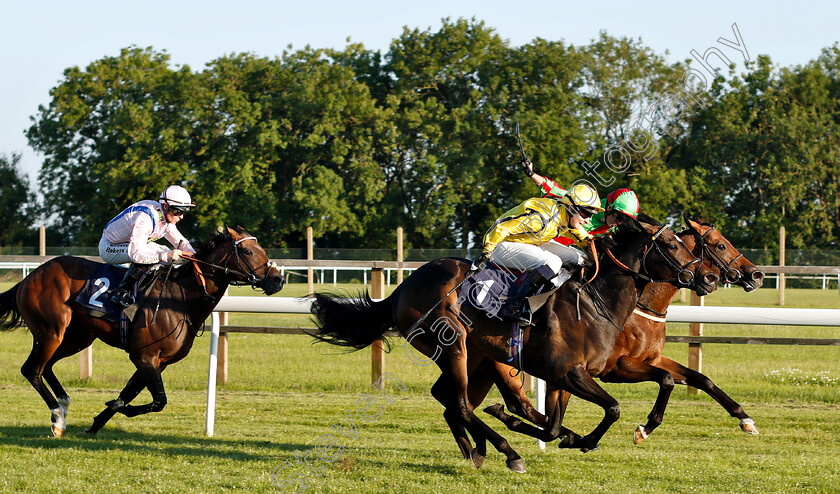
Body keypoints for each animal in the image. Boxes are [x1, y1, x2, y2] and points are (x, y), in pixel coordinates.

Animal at [0, 227, 284, 436]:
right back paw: (57, 417)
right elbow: (159, 400)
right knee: (32, 369)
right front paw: (115, 409)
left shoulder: (158, 361)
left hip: (77, 337)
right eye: (247, 251)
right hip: (51, 331)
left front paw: (98, 421)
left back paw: (63, 404)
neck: (179, 299)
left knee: (46, 366)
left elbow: (129, 394)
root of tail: (29, 278)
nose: (277, 279)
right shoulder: (144, 356)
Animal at [308, 215, 716, 470]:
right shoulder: (571, 373)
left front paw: (571, 437)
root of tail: (402, 288)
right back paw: (506, 451)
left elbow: (553, 425)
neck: (595, 300)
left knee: (452, 401)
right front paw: (582, 439)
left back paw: (477, 448)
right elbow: (612, 408)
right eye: (670, 245)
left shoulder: (570, 375)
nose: (708, 278)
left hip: (475, 357)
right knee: (460, 403)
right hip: (455, 345)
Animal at [476, 216, 764, 448]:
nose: (756, 274)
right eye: (720, 245)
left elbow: (699, 379)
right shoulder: (617, 367)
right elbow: (666, 380)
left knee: (531, 410)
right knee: (522, 404)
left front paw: (745, 419)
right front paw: (644, 429)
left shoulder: (652, 358)